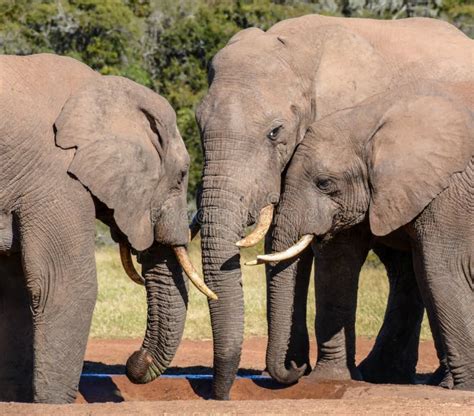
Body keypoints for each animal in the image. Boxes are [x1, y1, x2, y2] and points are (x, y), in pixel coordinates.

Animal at [0, 53, 213, 404]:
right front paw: (54, 406)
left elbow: (15, 293)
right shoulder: (56, 180)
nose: (134, 361)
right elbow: (67, 285)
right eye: (182, 175)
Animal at [250, 80, 472, 390]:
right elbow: (338, 264)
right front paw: (330, 379)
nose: (296, 367)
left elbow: (444, 271)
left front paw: (466, 388)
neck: (370, 125)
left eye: (324, 183)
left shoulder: (449, 193)